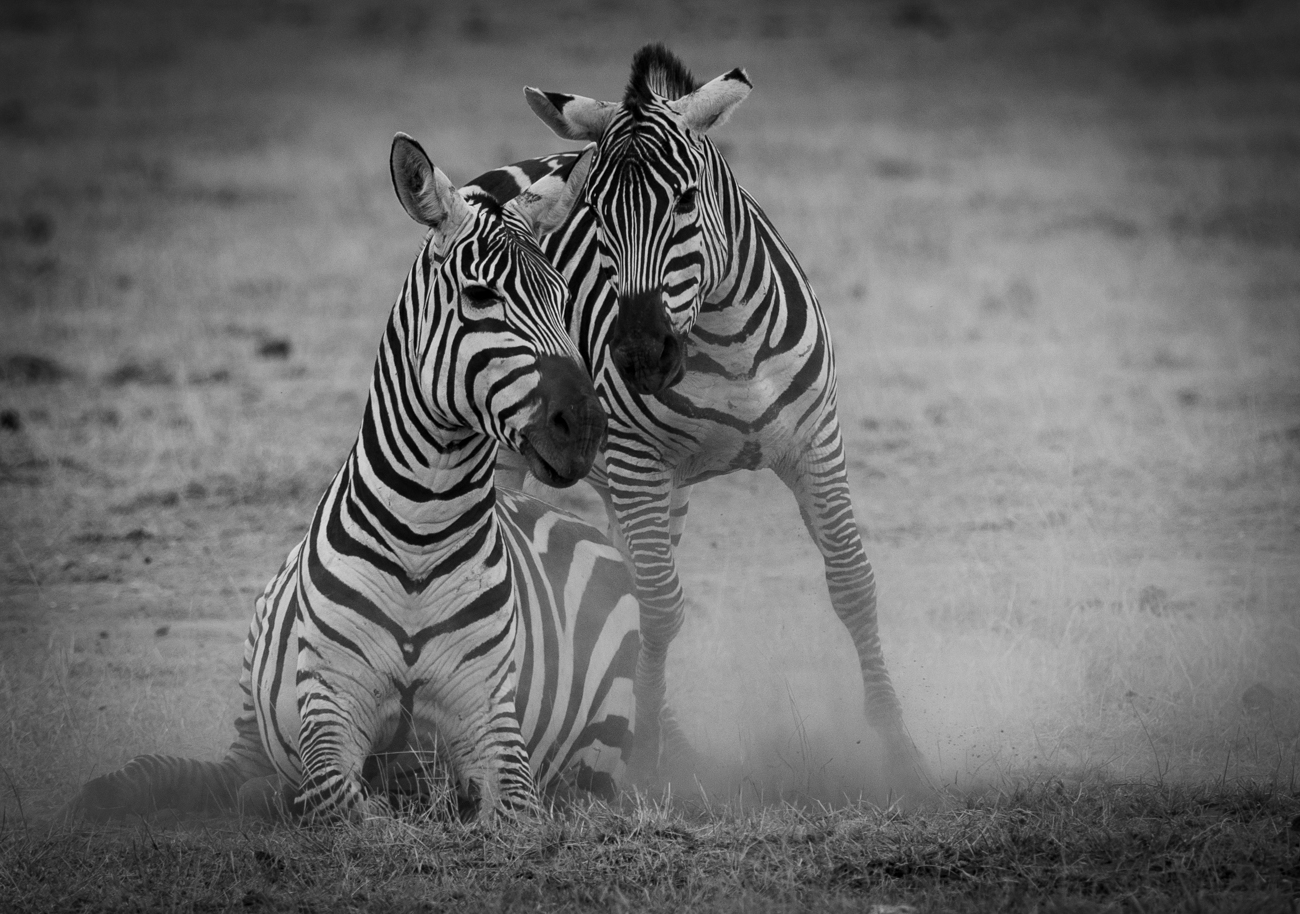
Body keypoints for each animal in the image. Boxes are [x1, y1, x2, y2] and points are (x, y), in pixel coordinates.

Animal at [64, 131, 642, 825]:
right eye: (480, 296)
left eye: (562, 297)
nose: (583, 427)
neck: (422, 533)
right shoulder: (329, 703)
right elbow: (342, 803)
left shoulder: (491, 712)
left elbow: (512, 807)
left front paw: (437, 797)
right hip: (256, 683)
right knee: (231, 775)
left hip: (607, 730)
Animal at [468, 44, 928, 791]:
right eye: (596, 211)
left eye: (685, 200)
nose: (637, 355)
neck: (725, 339)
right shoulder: (637, 462)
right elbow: (658, 610)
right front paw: (647, 758)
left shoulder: (815, 441)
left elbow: (852, 581)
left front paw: (898, 747)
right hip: (533, 457)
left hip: (655, 489)